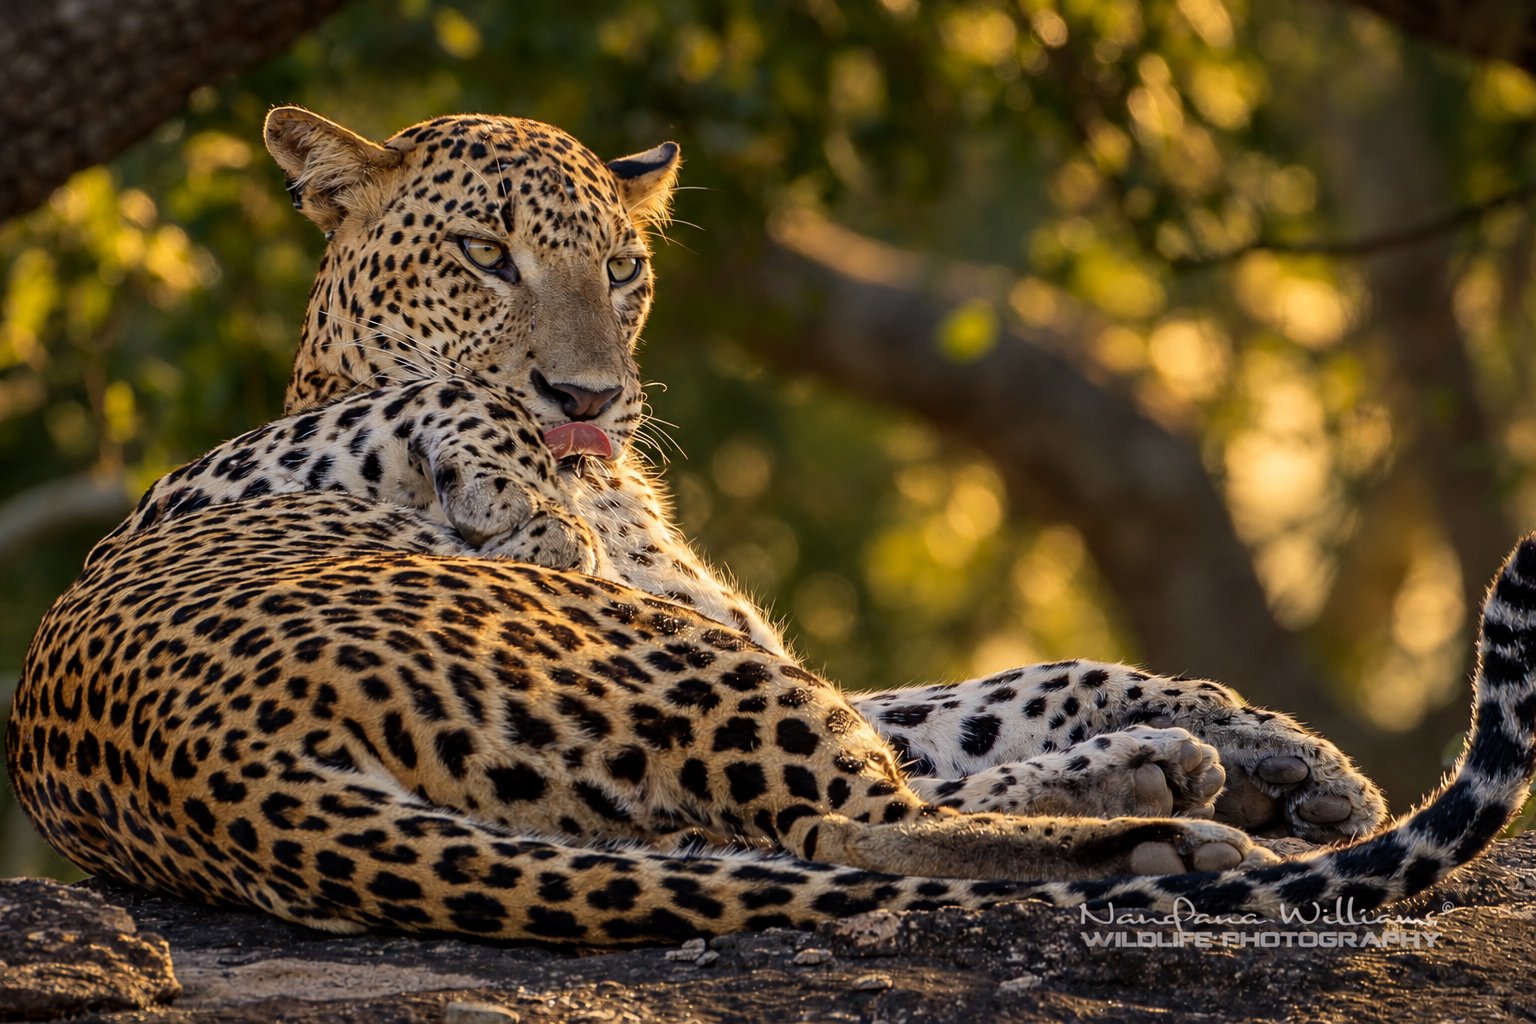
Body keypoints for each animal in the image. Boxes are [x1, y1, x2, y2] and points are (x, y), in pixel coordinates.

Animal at [7, 107, 1535, 946]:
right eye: (484, 256)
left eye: (623, 273)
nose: (589, 399)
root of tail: (215, 770)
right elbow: (448, 416)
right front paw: (516, 484)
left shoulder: (760, 640)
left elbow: (1013, 686)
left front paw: (1287, 751)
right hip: (646, 666)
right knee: (850, 831)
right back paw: (1172, 833)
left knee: (828, 816)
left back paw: (1189, 780)